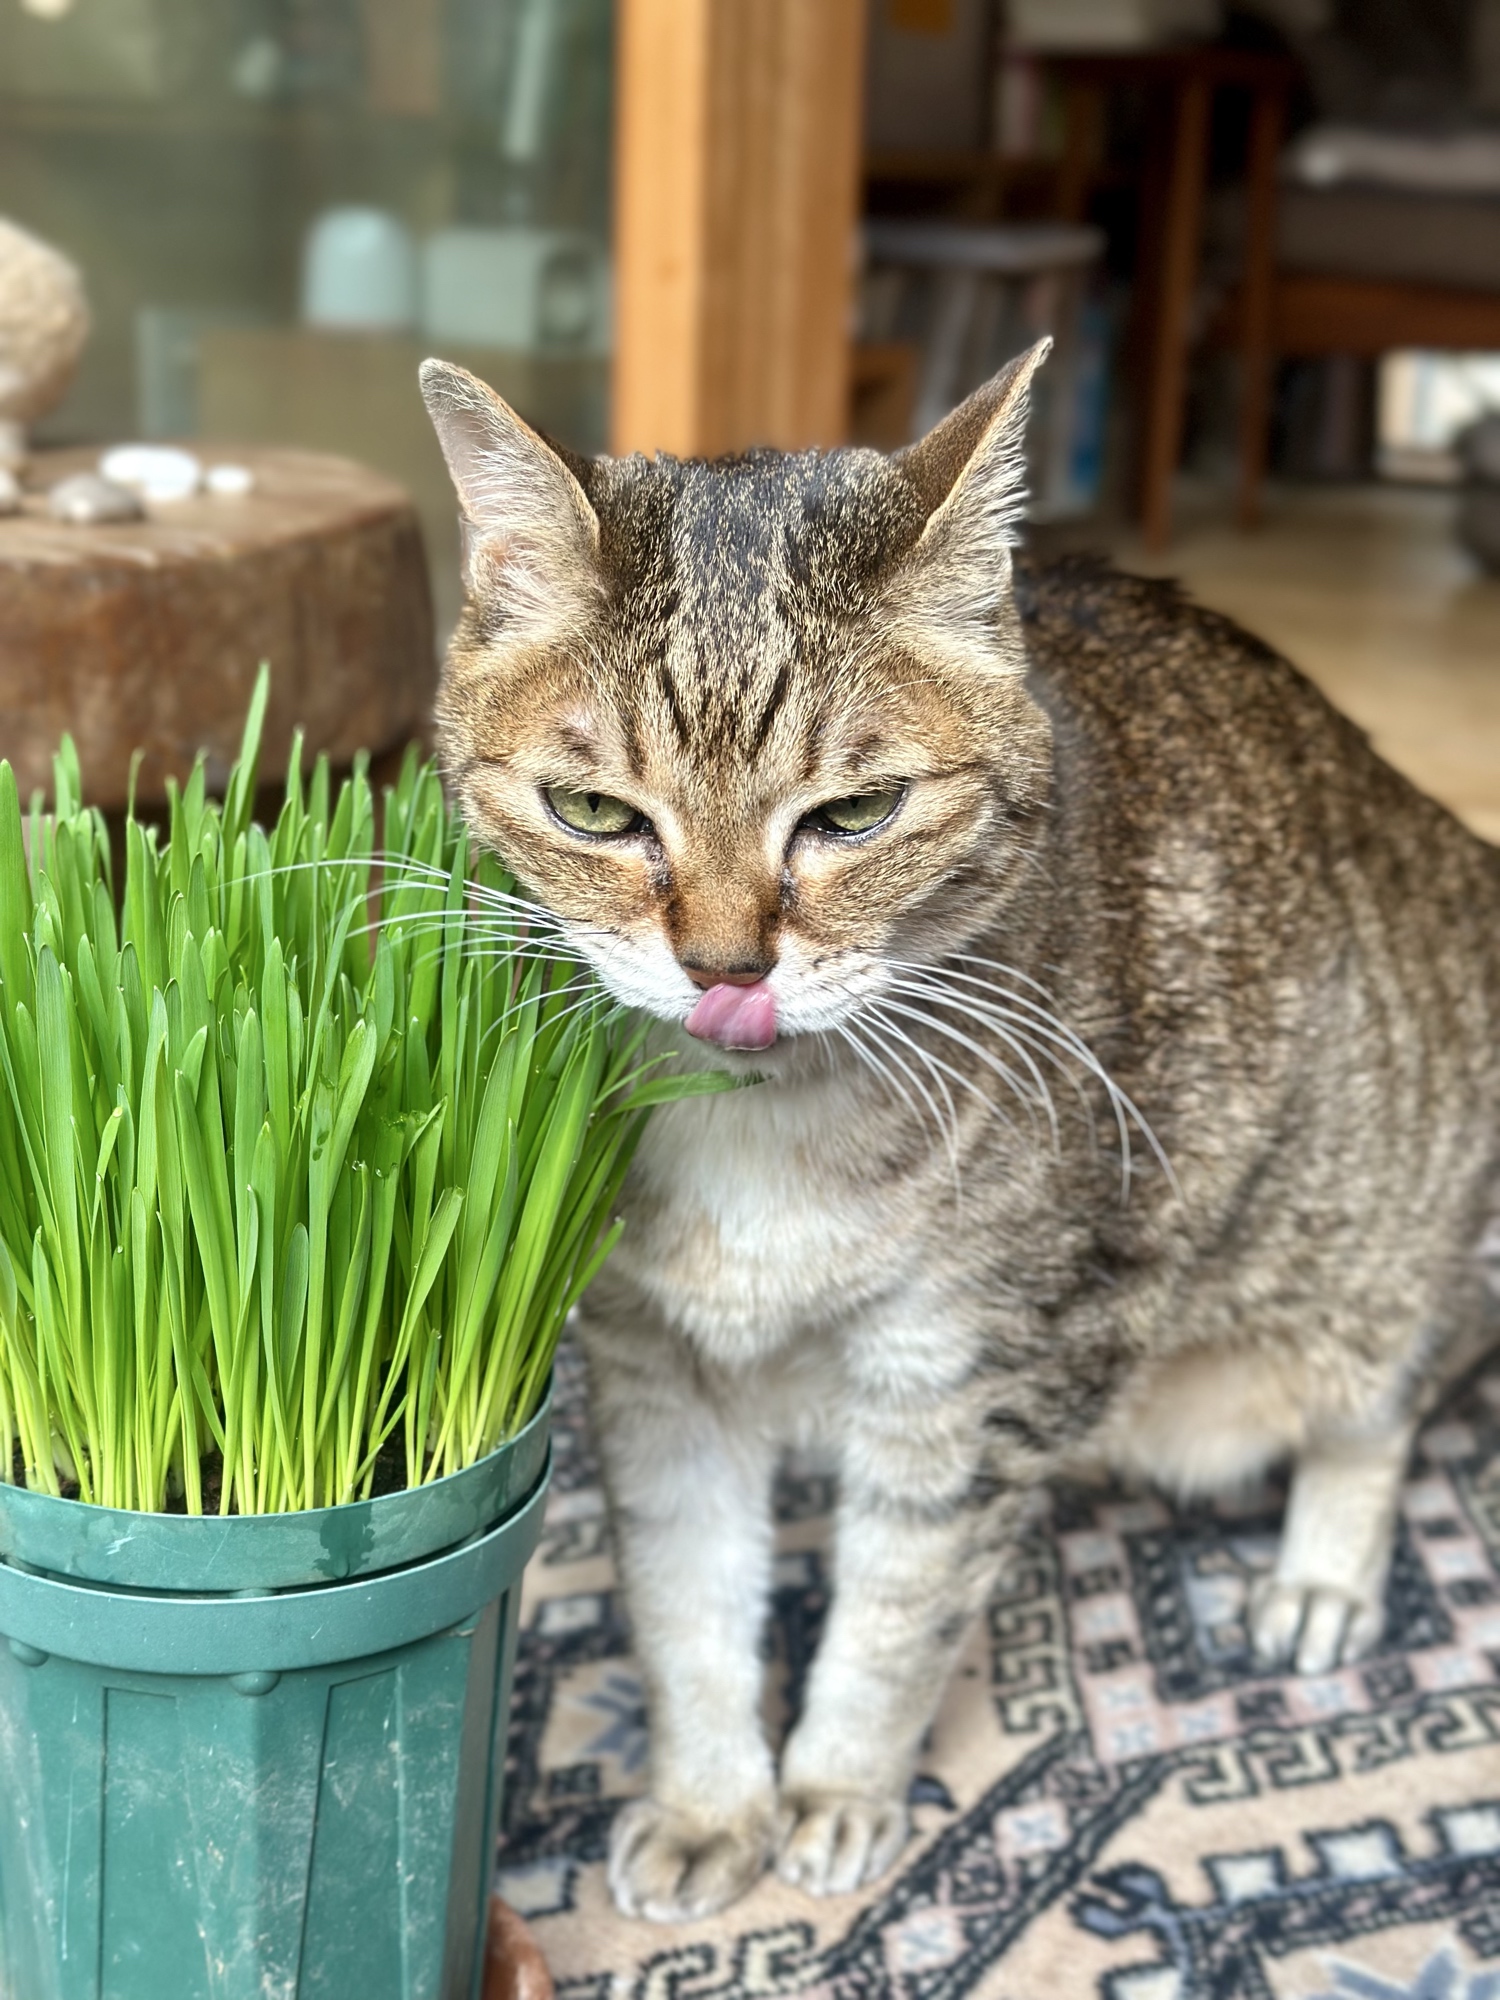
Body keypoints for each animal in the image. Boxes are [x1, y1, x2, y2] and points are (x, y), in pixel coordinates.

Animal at [420, 342, 1500, 1923]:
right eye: (595, 812)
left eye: (856, 813)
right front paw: (708, 1802)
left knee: (1380, 1412)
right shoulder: (650, 1363)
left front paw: (839, 1792)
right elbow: (685, 1600)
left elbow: (899, 1607)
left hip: (1381, 1260)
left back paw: (1319, 1582)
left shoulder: (983, 1370)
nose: (726, 965)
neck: (769, 1128)